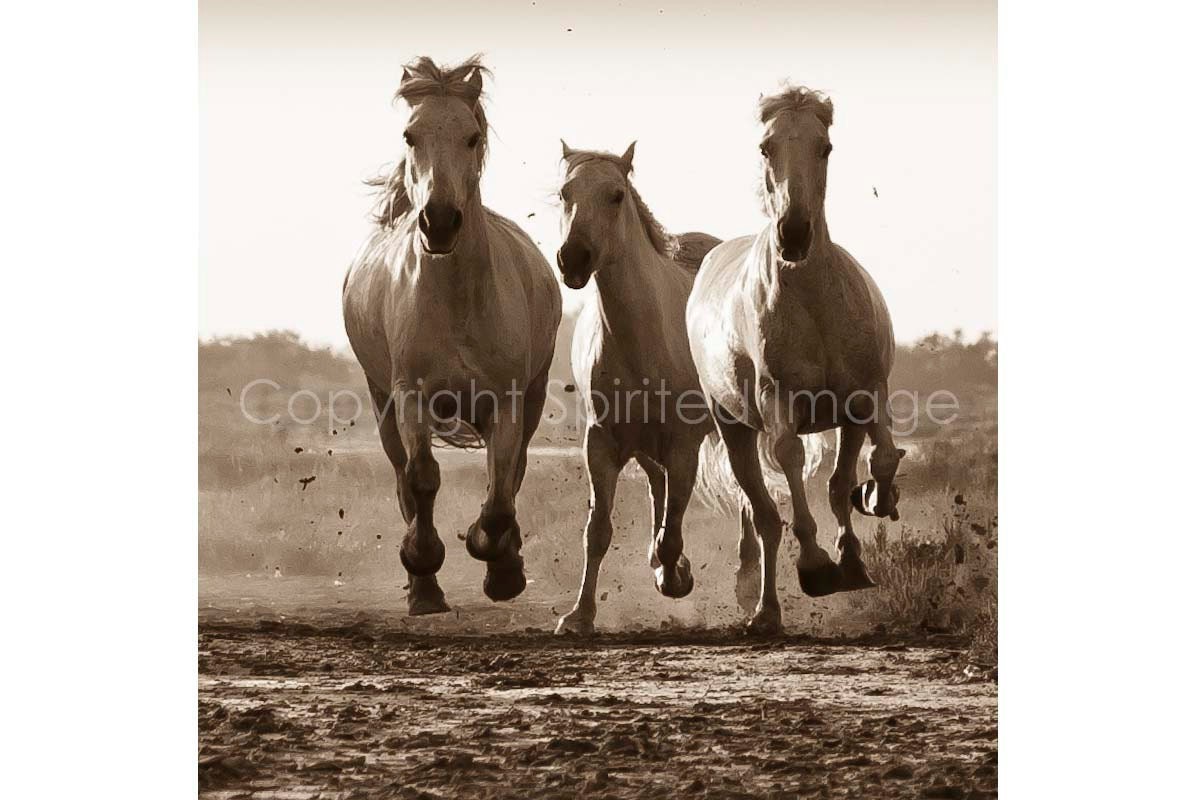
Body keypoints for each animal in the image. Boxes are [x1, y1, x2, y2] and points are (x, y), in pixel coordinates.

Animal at [342, 56, 562, 615]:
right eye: (410, 134)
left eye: (472, 136)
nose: (439, 221)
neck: (457, 301)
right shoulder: (409, 396)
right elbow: (422, 478)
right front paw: (423, 565)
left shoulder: (506, 401)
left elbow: (501, 490)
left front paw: (500, 565)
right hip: (382, 402)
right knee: (403, 478)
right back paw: (424, 588)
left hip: (531, 397)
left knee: (511, 474)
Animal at [551, 142, 721, 636]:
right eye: (565, 193)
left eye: (616, 195)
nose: (574, 258)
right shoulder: (602, 445)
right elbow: (598, 531)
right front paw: (579, 616)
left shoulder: (684, 446)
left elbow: (672, 532)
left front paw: (676, 577)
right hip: (646, 450)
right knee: (658, 494)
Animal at [686, 85, 905, 636]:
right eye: (766, 147)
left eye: (824, 147)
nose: (794, 234)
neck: (813, 300)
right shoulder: (779, 401)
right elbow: (791, 463)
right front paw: (818, 564)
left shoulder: (864, 397)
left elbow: (864, 469)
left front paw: (868, 517)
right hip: (734, 429)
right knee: (765, 517)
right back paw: (765, 611)